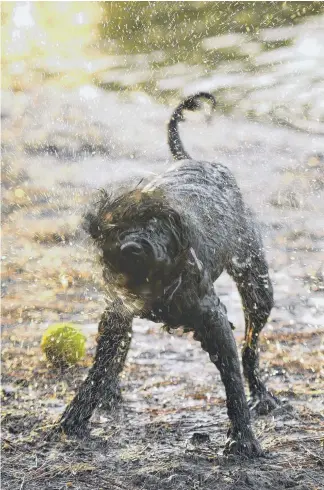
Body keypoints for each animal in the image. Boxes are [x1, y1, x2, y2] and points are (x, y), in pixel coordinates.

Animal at [56, 93, 278, 456]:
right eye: (116, 228)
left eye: (156, 225)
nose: (132, 247)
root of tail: (193, 160)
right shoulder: (118, 311)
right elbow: (97, 371)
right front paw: (75, 417)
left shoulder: (214, 322)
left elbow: (233, 382)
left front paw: (242, 438)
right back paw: (110, 390)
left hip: (258, 288)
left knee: (251, 349)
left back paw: (260, 393)